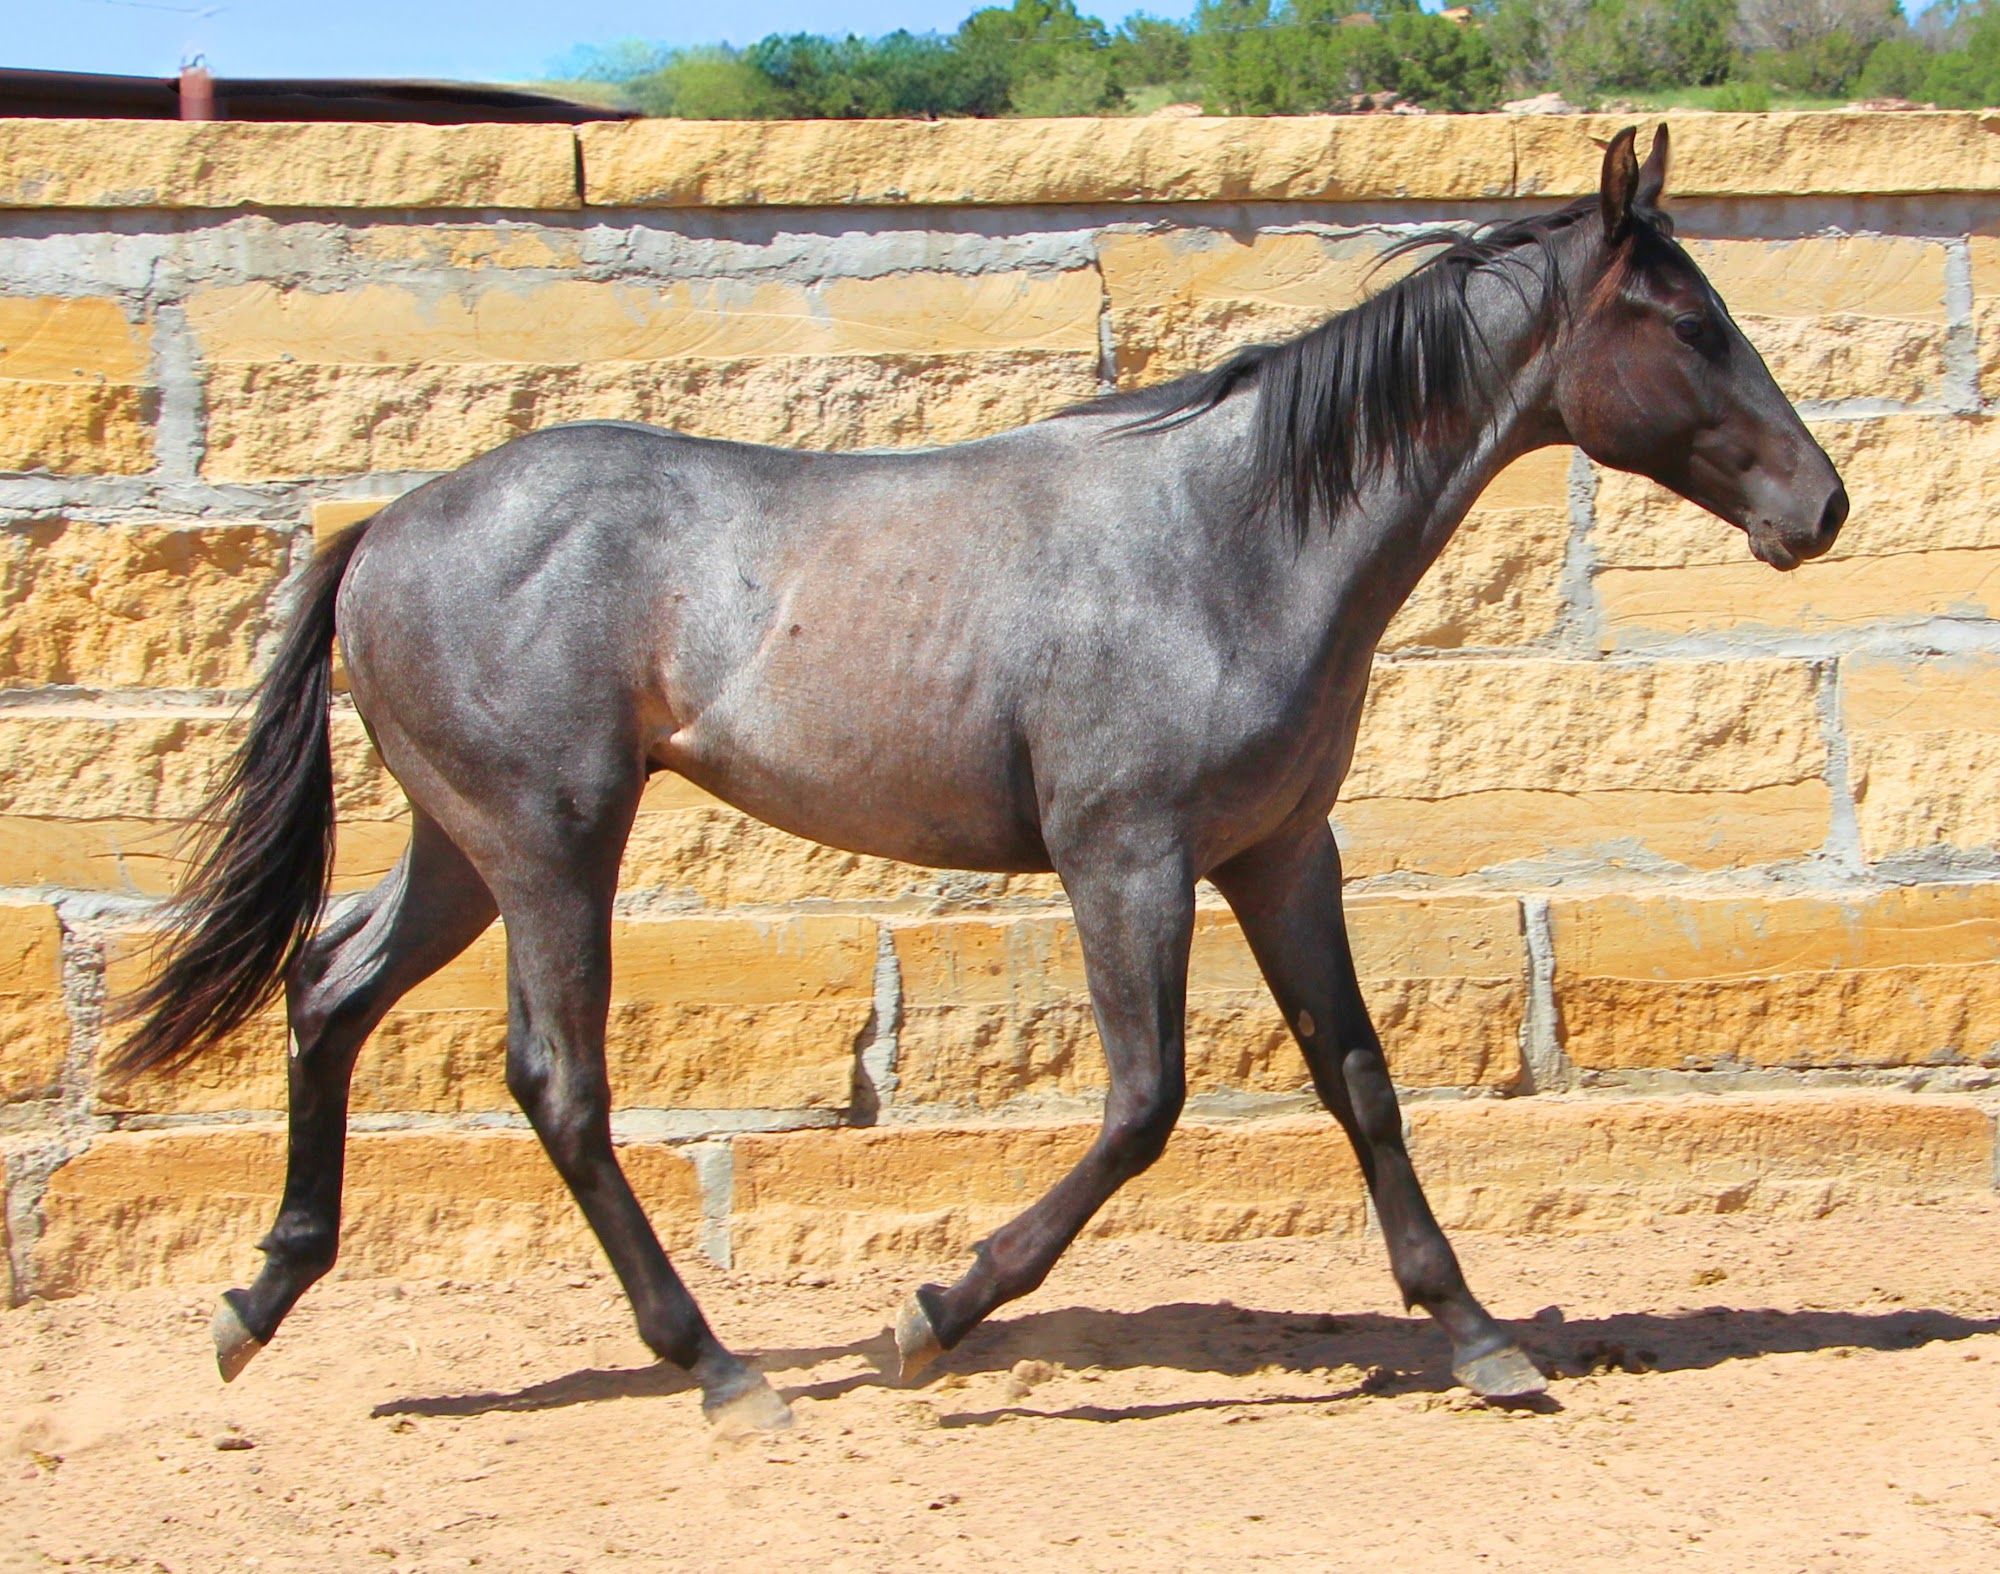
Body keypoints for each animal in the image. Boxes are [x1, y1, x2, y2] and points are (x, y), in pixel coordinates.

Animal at [115, 125, 1847, 1434]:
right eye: (1689, 323)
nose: (1821, 506)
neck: (1230, 539)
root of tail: (381, 533)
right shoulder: (1123, 853)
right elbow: (1144, 1105)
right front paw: (929, 1313)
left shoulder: (1282, 851)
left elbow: (1359, 1077)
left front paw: (1481, 1336)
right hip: (552, 841)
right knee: (559, 1080)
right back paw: (724, 1370)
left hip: (464, 845)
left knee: (329, 988)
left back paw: (254, 1301)